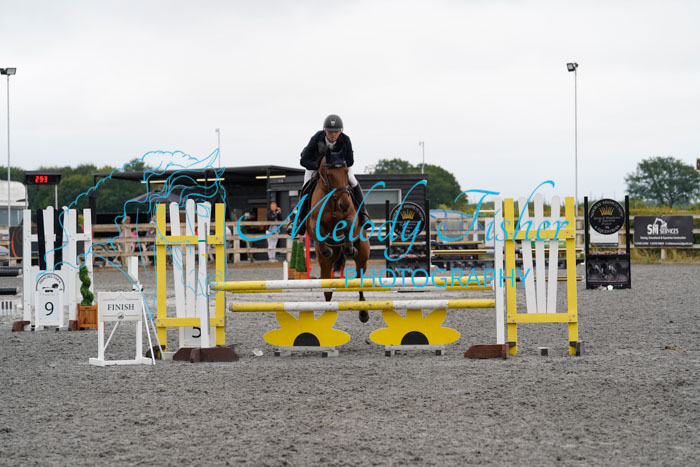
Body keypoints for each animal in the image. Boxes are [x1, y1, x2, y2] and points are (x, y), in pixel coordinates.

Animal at [306, 156, 371, 322]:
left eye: (346, 172)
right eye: (329, 175)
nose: (345, 204)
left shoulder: (352, 217)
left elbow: (348, 225)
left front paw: (350, 249)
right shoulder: (312, 222)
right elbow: (318, 229)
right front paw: (326, 250)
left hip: (363, 255)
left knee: (359, 280)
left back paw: (363, 312)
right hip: (325, 266)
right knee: (328, 289)